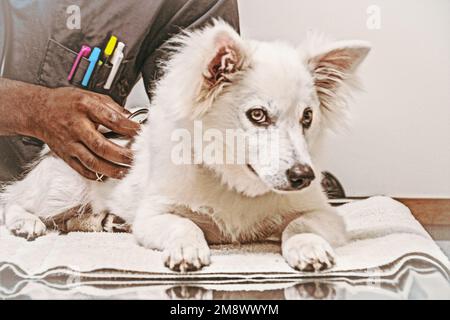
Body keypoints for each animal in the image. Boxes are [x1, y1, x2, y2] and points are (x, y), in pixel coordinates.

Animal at [1, 21, 370, 272]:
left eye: (307, 117)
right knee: (14, 201)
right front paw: (186, 248)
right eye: (258, 115)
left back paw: (105, 221)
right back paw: (27, 222)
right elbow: (184, 224)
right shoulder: (154, 216)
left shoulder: (326, 215)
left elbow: (300, 224)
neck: (236, 185)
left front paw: (308, 247)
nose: (303, 176)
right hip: (60, 191)